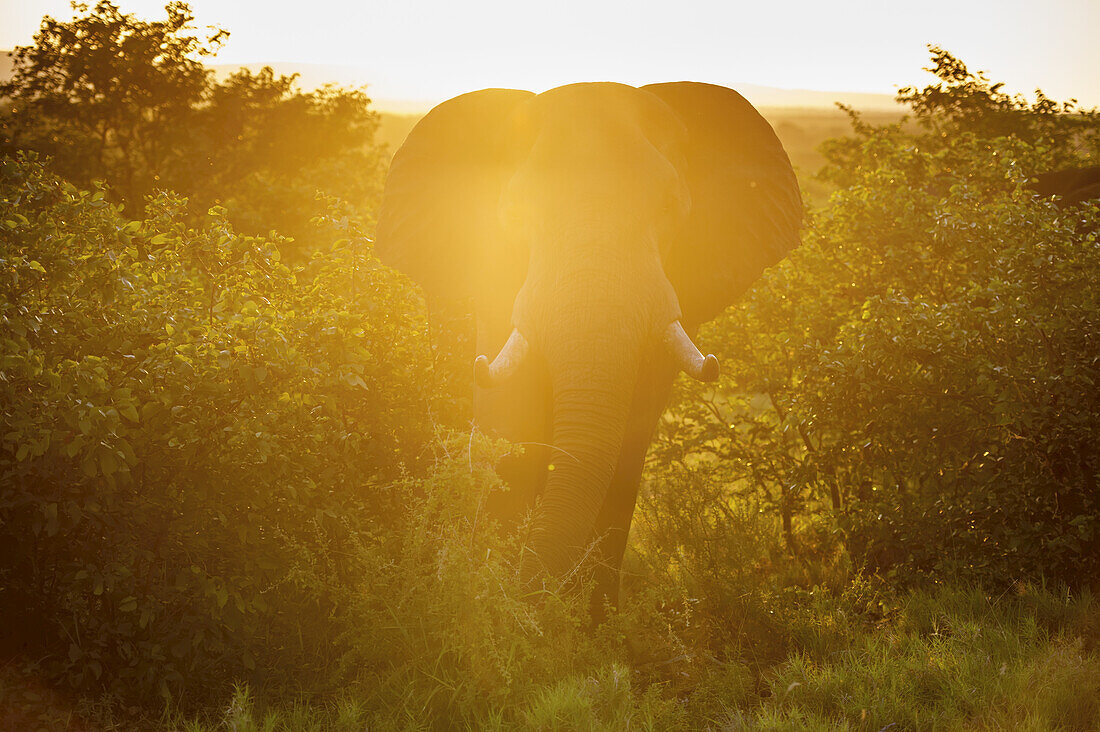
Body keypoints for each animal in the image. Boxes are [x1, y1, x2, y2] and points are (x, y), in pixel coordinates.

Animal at [376, 81, 800, 612]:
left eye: (671, 209)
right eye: (515, 214)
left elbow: (627, 448)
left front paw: (591, 621)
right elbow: (511, 427)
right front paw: (495, 606)